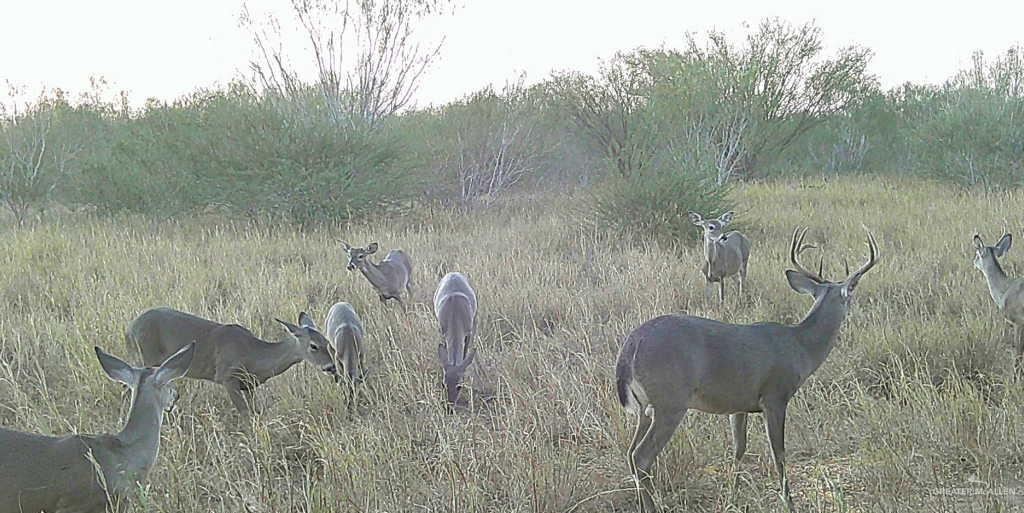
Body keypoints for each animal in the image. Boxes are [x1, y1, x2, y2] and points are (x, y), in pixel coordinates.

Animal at [126, 303, 337, 415]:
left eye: (328, 342)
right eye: (314, 346)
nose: (332, 367)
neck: (254, 355)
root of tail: (129, 329)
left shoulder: (250, 385)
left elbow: (255, 411)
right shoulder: (227, 377)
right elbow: (245, 414)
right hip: (148, 357)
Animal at [610, 228, 884, 511]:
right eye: (851, 292)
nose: (855, 309)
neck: (800, 347)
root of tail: (631, 345)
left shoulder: (738, 405)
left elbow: (738, 449)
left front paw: (732, 496)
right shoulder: (775, 396)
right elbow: (779, 454)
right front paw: (788, 501)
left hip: (646, 409)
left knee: (630, 453)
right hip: (670, 401)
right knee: (641, 456)